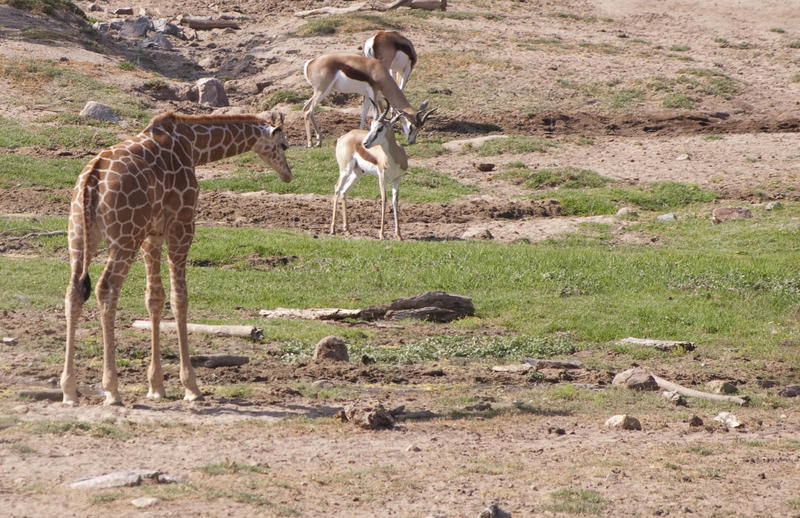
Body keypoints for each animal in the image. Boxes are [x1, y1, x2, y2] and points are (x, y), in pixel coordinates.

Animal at [61, 111, 294, 408]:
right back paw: (112, 391)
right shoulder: (181, 224)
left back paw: (69, 390)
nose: (288, 174)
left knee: (73, 291)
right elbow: (179, 297)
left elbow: (154, 298)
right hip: (125, 236)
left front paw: (156, 386)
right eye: (284, 145)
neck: (193, 146)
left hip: (79, 234)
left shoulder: (153, 233)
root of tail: (91, 179)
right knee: (106, 289)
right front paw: (191, 387)